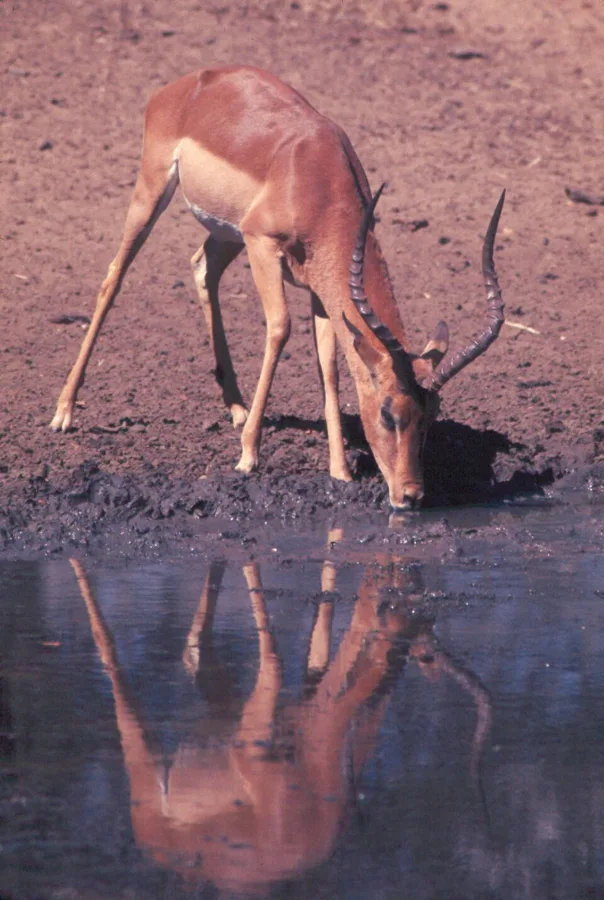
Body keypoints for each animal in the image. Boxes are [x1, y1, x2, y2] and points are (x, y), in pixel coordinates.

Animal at [50, 66, 506, 510]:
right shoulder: (263, 245)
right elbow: (280, 328)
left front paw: (340, 471)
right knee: (114, 276)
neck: (317, 176)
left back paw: (236, 406)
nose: (410, 496)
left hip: (226, 233)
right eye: (388, 414)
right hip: (155, 193)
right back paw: (64, 412)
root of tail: (188, 83)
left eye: (430, 416)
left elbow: (328, 366)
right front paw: (248, 455)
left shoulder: (322, 288)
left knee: (202, 269)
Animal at [70, 537, 492, 894]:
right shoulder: (254, 732)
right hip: (144, 754)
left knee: (194, 650)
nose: (405, 569)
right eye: (393, 606)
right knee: (109, 651)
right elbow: (274, 658)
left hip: (222, 708)